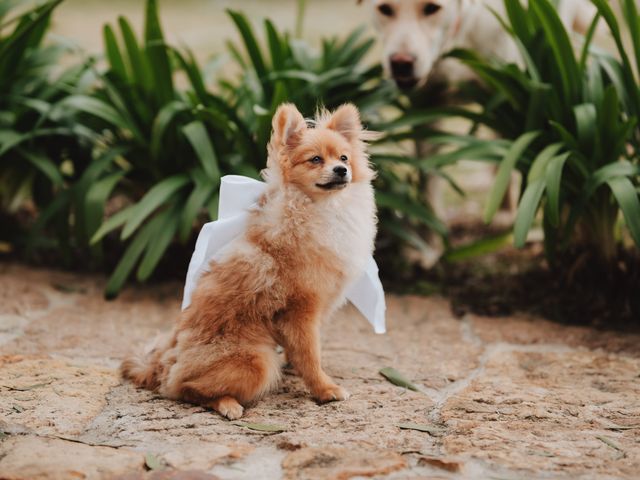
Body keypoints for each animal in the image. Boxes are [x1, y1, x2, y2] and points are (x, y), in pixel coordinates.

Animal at [122, 103, 378, 418]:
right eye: (316, 160)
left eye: (343, 157)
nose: (342, 170)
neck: (319, 209)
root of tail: (163, 363)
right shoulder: (301, 311)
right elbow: (310, 355)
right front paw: (324, 388)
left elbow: (301, 353)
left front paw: (297, 370)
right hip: (256, 361)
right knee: (186, 389)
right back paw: (227, 404)